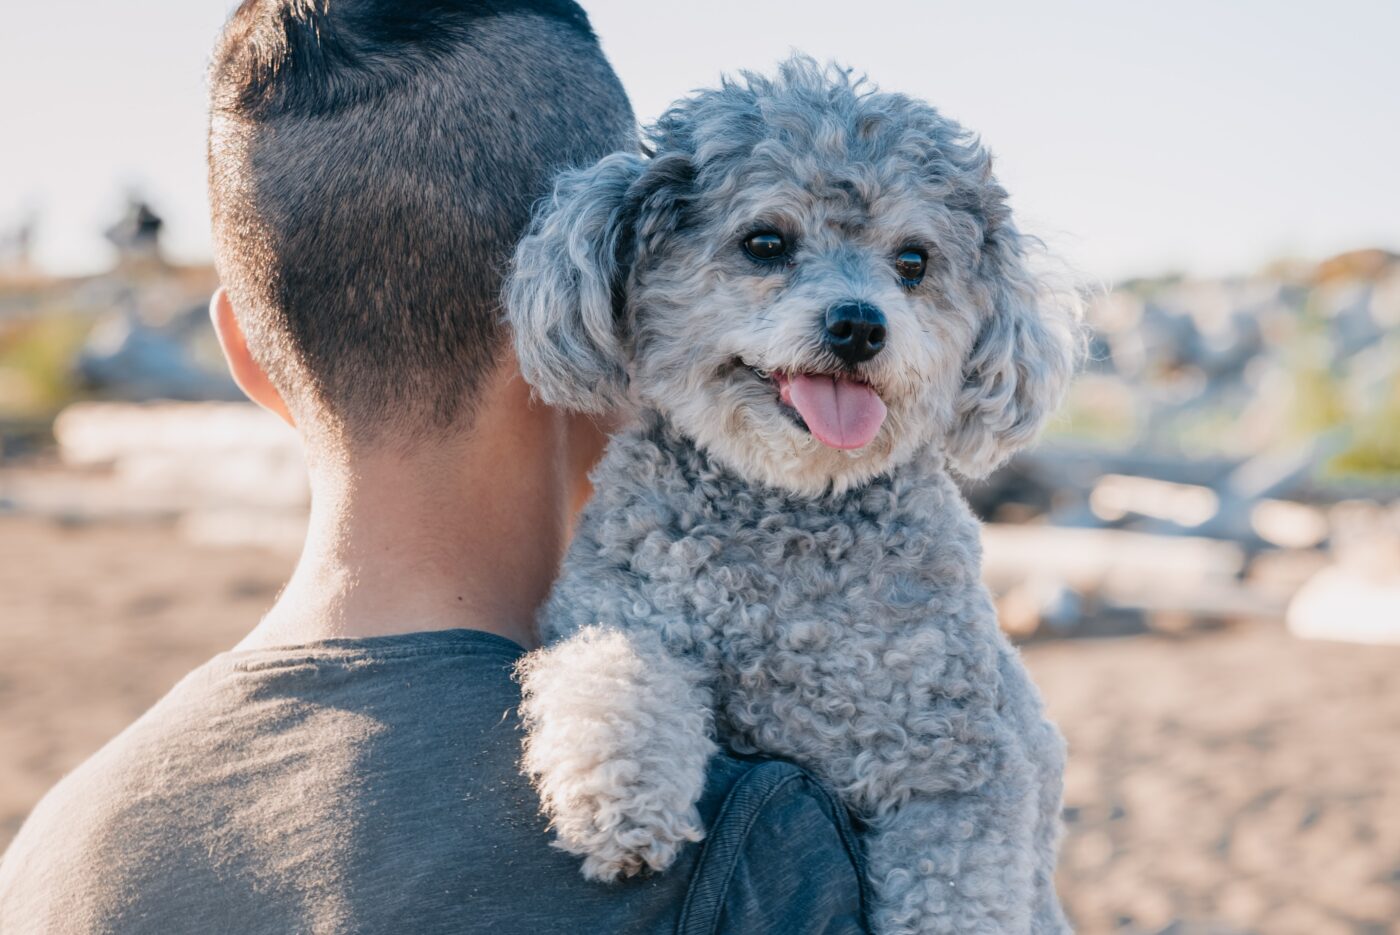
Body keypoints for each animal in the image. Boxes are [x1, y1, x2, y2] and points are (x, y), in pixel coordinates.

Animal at [506, 58, 1080, 935]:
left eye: (914, 261)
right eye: (765, 242)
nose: (859, 324)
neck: (792, 508)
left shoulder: (960, 759)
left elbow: (956, 886)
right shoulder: (615, 603)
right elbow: (614, 668)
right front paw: (621, 804)